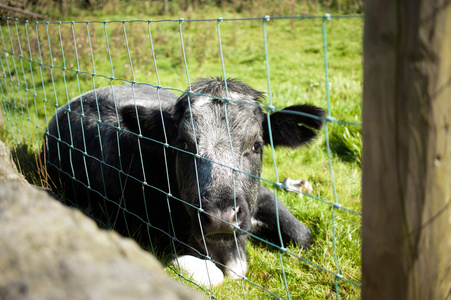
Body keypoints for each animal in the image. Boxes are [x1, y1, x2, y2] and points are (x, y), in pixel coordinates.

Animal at [41, 77, 324, 286]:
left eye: (256, 145)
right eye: (183, 144)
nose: (220, 216)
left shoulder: (261, 197)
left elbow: (303, 235)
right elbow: (210, 274)